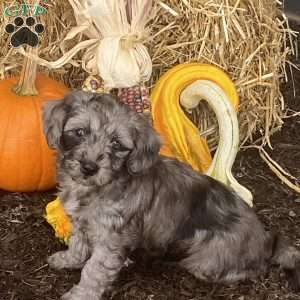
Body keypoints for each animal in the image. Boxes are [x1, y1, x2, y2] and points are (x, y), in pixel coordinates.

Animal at [44, 91, 300, 300]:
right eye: (79, 132)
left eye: (116, 144)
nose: (89, 167)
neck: (99, 186)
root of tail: (267, 240)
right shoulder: (83, 223)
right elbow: (78, 243)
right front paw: (67, 259)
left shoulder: (111, 239)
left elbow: (94, 270)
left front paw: (81, 294)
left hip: (207, 258)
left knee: (248, 270)